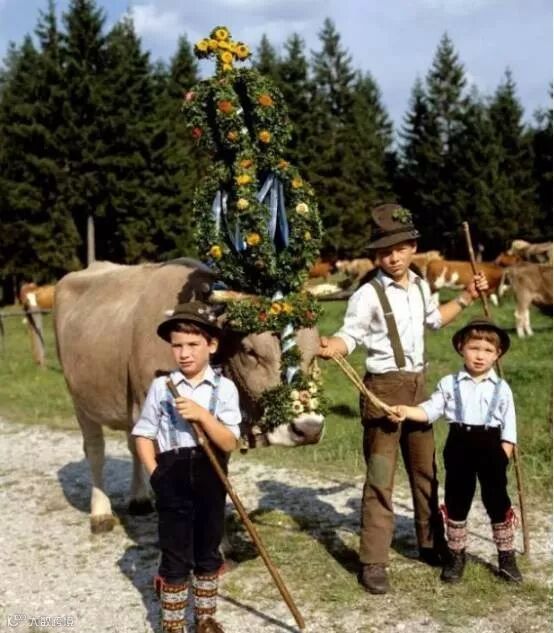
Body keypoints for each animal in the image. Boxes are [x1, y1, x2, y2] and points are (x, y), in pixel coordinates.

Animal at [54, 260, 325, 532]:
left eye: (314, 353)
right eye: (250, 351)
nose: (308, 428)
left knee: (133, 443)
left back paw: (139, 499)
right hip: (79, 399)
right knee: (95, 450)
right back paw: (100, 514)